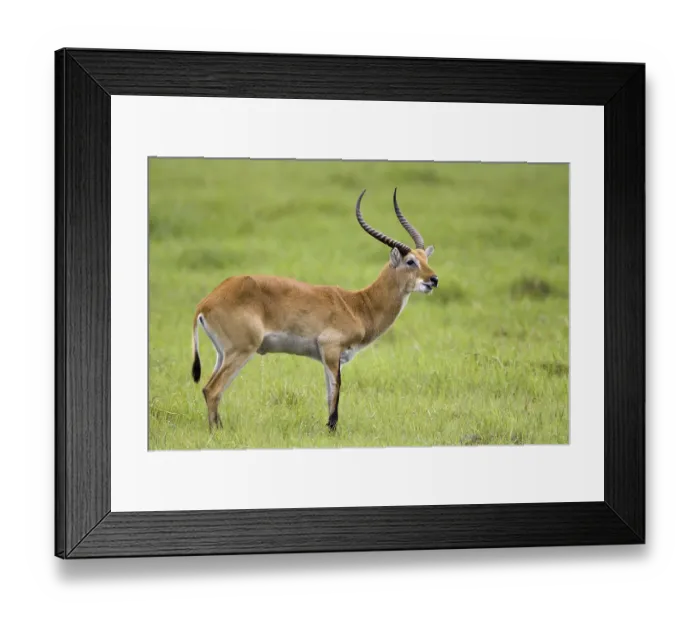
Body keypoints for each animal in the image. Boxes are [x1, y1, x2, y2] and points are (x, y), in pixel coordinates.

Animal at [190, 188, 439, 432]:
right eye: (410, 261)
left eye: (425, 258)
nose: (434, 279)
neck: (358, 305)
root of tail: (207, 301)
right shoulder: (331, 350)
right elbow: (336, 391)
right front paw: (332, 429)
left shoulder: (327, 356)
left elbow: (329, 394)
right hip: (242, 350)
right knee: (212, 389)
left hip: (222, 353)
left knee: (210, 388)